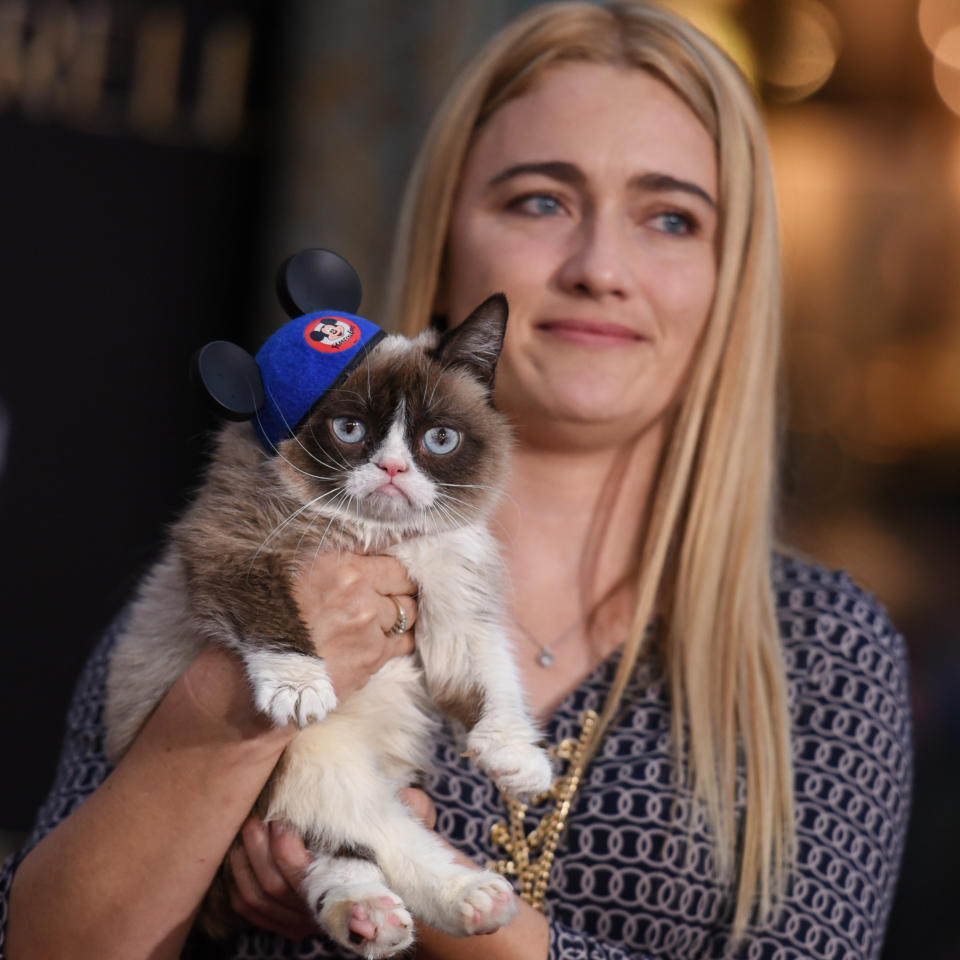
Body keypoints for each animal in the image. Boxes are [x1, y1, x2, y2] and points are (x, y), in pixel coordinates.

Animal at [103, 294, 556, 960]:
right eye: (350, 431)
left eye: (439, 438)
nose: (393, 468)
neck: (377, 537)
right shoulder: (232, 542)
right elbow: (269, 609)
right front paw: (300, 687)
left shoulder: (452, 596)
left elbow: (491, 675)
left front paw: (517, 761)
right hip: (310, 761)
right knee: (369, 831)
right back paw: (451, 901)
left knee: (343, 849)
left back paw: (398, 915)